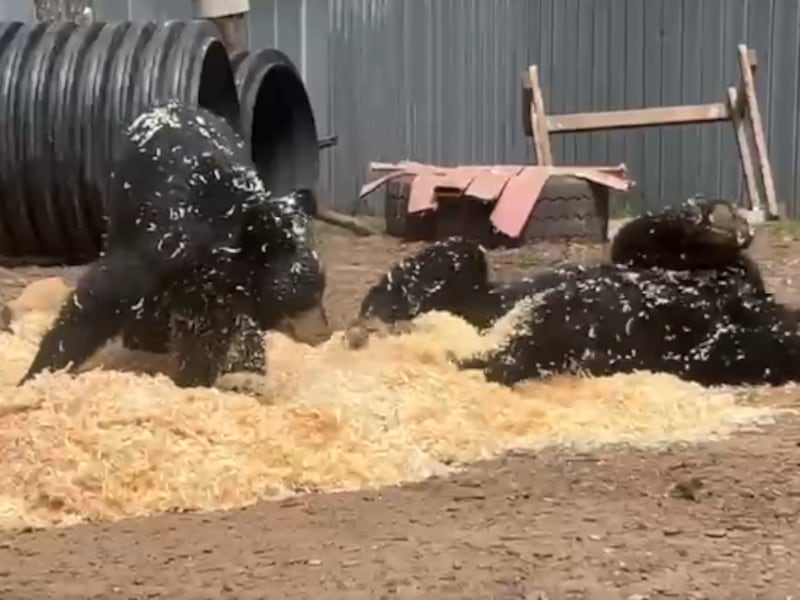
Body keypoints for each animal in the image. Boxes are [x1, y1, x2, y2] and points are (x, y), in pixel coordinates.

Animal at [19, 102, 331, 389]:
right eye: (304, 292)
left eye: (320, 287)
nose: (323, 334)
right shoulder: (155, 252)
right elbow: (94, 304)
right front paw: (37, 374)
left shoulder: (216, 293)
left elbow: (209, 337)